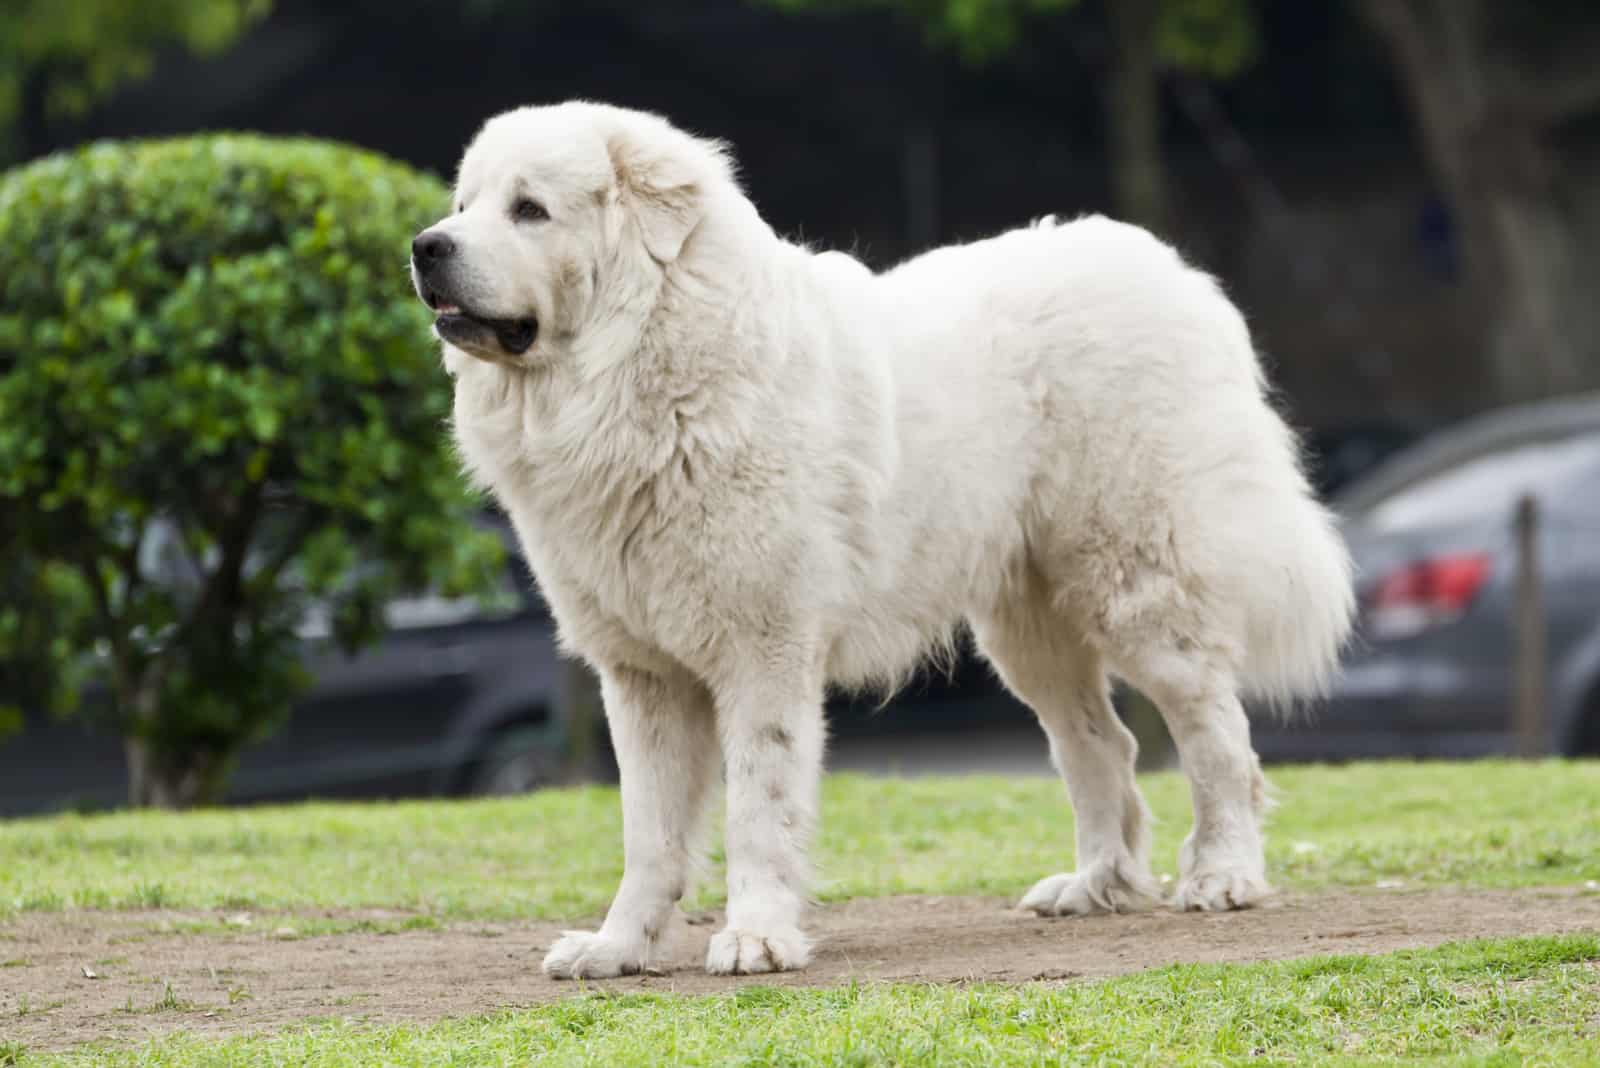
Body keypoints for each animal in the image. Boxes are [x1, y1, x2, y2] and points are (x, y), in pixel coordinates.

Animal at [409, 99, 1350, 978]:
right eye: (463, 204)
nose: (425, 246)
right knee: (1101, 746)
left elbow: (758, 808)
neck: (643, 368)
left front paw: (756, 938)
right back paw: (1096, 887)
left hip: (1139, 587)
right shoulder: (643, 674)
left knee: (1215, 734)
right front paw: (617, 947)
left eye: (530, 209)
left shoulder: (764, 653)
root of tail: (1173, 272)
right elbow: (649, 834)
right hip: (1030, 633)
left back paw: (1223, 875)